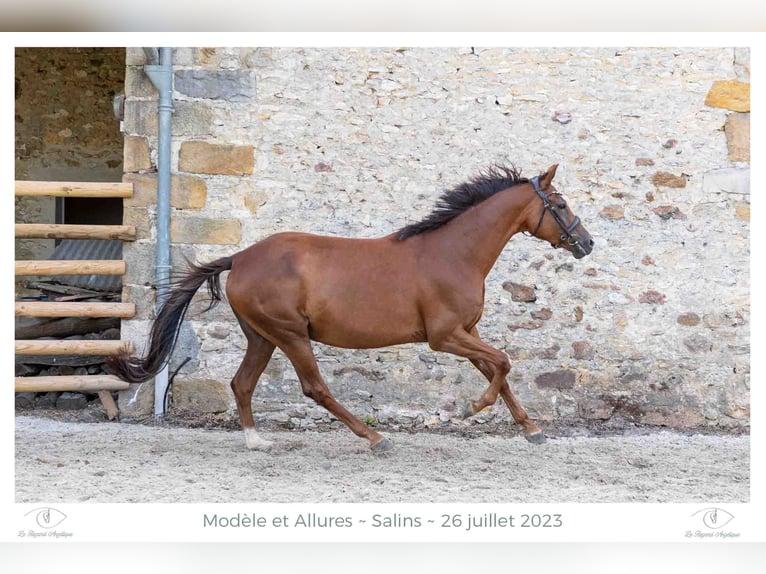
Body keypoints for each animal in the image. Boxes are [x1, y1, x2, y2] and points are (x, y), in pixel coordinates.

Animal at [109, 165, 592, 454]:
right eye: (561, 204)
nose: (587, 243)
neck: (454, 252)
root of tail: (240, 258)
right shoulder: (445, 336)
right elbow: (503, 363)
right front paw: (472, 408)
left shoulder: (466, 332)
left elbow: (499, 369)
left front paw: (531, 429)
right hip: (290, 334)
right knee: (314, 388)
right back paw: (374, 437)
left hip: (262, 336)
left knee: (242, 383)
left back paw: (256, 441)